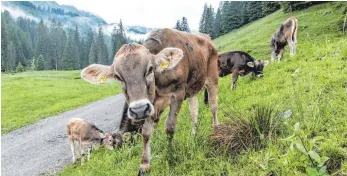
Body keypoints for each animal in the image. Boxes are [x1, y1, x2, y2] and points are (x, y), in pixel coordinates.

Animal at [80, 28, 219, 174]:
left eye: (150, 69)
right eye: (118, 77)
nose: (138, 109)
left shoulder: (178, 93)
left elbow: (170, 126)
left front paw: (170, 154)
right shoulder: (149, 106)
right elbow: (146, 132)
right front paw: (145, 165)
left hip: (212, 76)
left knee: (213, 105)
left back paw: (215, 128)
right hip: (192, 88)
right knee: (194, 111)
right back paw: (194, 135)